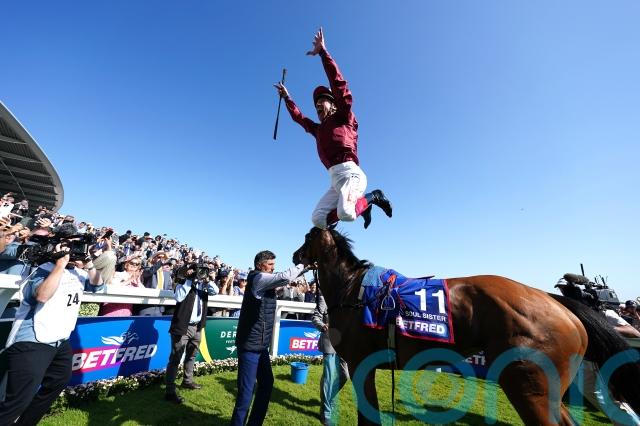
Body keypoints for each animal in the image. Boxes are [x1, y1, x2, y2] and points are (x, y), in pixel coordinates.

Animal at [292, 227, 640, 425]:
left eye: (307, 238)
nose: (296, 255)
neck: (353, 289)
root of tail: (555, 301)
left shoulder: (361, 363)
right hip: (549, 391)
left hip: (526, 384)